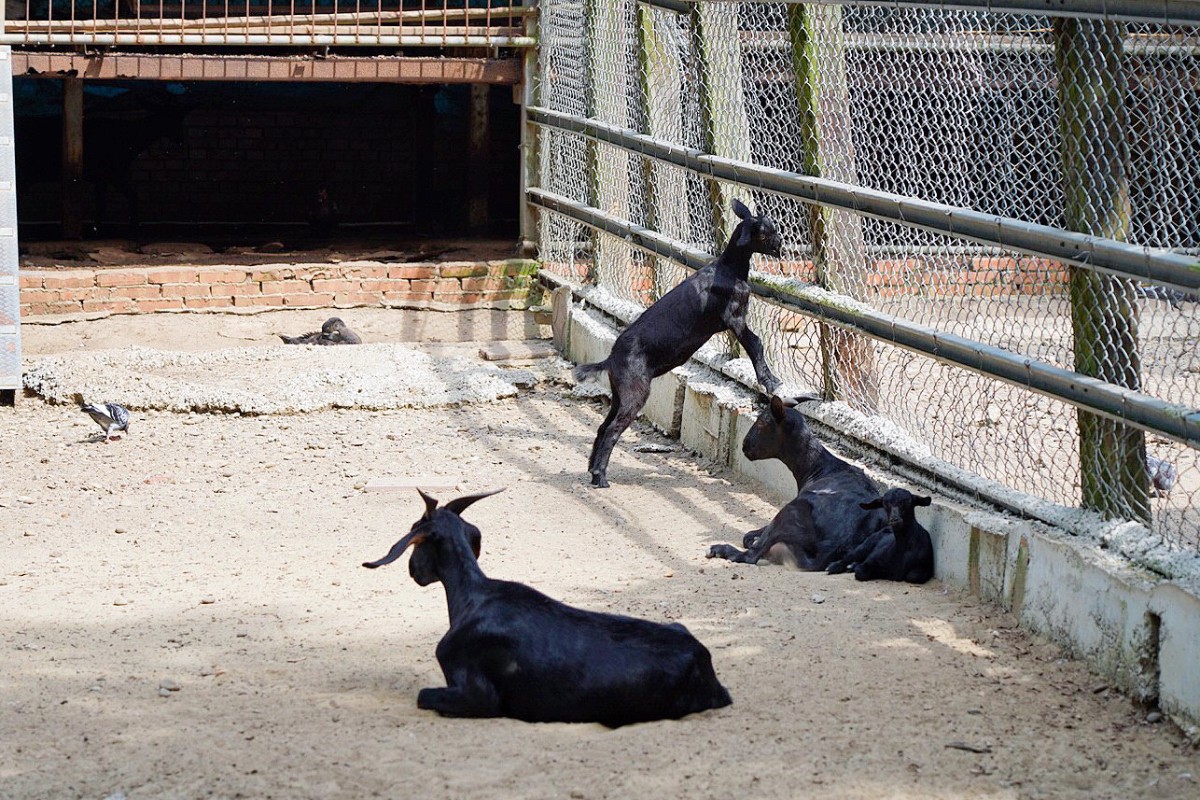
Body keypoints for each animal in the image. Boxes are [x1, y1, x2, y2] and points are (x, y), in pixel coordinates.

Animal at [360, 491, 729, 729]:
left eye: (416, 538)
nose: (414, 571)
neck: (472, 596)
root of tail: (709, 673)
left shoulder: (477, 696)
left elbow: (424, 695)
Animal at [573, 200, 782, 489]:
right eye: (763, 232)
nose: (780, 244)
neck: (728, 269)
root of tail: (610, 359)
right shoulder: (735, 318)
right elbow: (756, 344)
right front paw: (770, 382)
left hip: (620, 394)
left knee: (604, 427)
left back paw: (593, 472)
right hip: (635, 393)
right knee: (612, 431)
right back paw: (601, 477)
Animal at [700, 395, 883, 568]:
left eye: (762, 422)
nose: (745, 445)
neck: (820, 466)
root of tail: (832, 547)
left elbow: (749, 537)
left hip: (788, 511)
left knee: (751, 555)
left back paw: (718, 549)